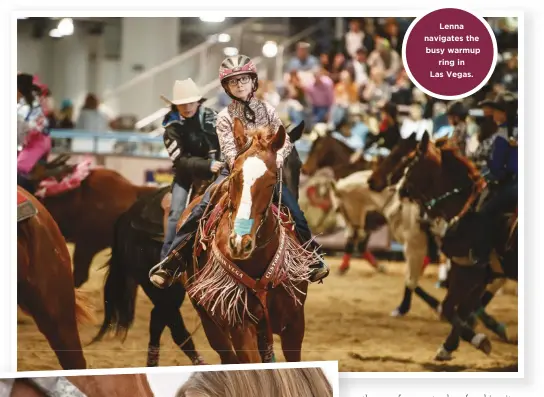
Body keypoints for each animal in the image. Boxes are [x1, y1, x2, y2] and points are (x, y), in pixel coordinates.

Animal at [182, 120, 314, 362]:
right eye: (234, 176)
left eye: (271, 179)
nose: (239, 243)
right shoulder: (240, 326)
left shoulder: (294, 323)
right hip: (209, 321)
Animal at [396, 131, 520, 360]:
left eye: (411, 161)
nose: (400, 189)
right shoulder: (481, 275)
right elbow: (462, 310)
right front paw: (450, 345)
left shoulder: (466, 269)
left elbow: (447, 309)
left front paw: (478, 340)